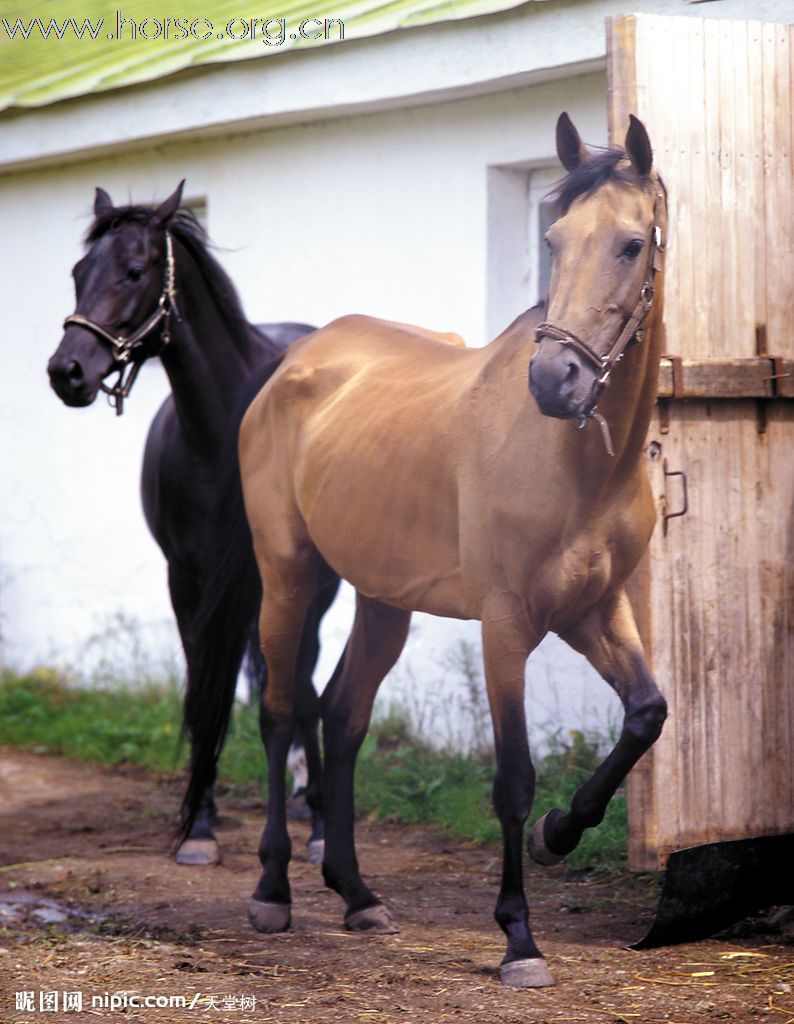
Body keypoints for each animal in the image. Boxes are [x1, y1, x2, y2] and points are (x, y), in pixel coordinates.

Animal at [46, 182, 338, 864]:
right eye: (77, 272)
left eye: (134, 270)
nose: (67, 372)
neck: (223, 436)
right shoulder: (187, 580)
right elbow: (203, 686)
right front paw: (200, 824)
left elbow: (301, 693)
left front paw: (316, 826)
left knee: (302, 681)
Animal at [238, 112, 667, 983]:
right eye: (554, 238)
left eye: (631, 243)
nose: (554, 381)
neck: (578, 465)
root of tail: (296, 360)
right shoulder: (506, 627)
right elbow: (513, 777)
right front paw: (520, 938)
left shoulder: (597, 610)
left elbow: (646, 717)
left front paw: (560, 834)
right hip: (289, 574)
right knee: (281, 710)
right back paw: (273, 890)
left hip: (382, 599)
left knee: (344, 714)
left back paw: (358, 895)